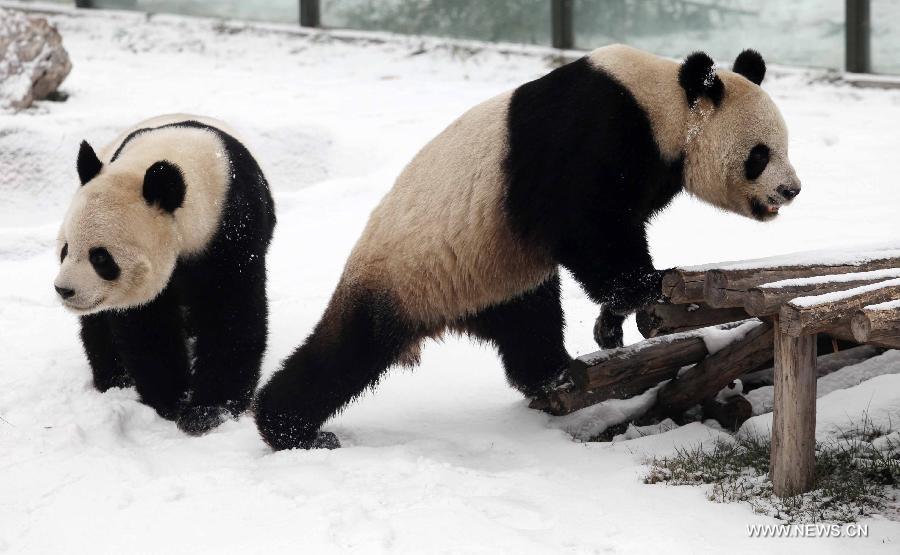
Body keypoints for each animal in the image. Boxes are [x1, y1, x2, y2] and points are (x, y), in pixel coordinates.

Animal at [53, 113, 274, 434]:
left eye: (100, 257)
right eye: (65, 249)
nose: (64, 289)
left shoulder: (235, 229)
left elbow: (232, 312)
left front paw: (208, 411)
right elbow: (146, 326)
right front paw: (172, 401)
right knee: (97, 325)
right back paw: (115, 380)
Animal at [253, 45, 800, 450]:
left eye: (784, 146)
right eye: (759, 155)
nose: (791, 189)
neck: (663, 103)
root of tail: (453, 315)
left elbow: (608, 239)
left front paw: (610, 324)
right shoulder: (596, 135)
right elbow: (587, 225)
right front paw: (648, 286)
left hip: (495, 269)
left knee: (527, 324)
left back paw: (554, 374)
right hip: (408, 268)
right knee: (350, 349)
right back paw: (290, 430)